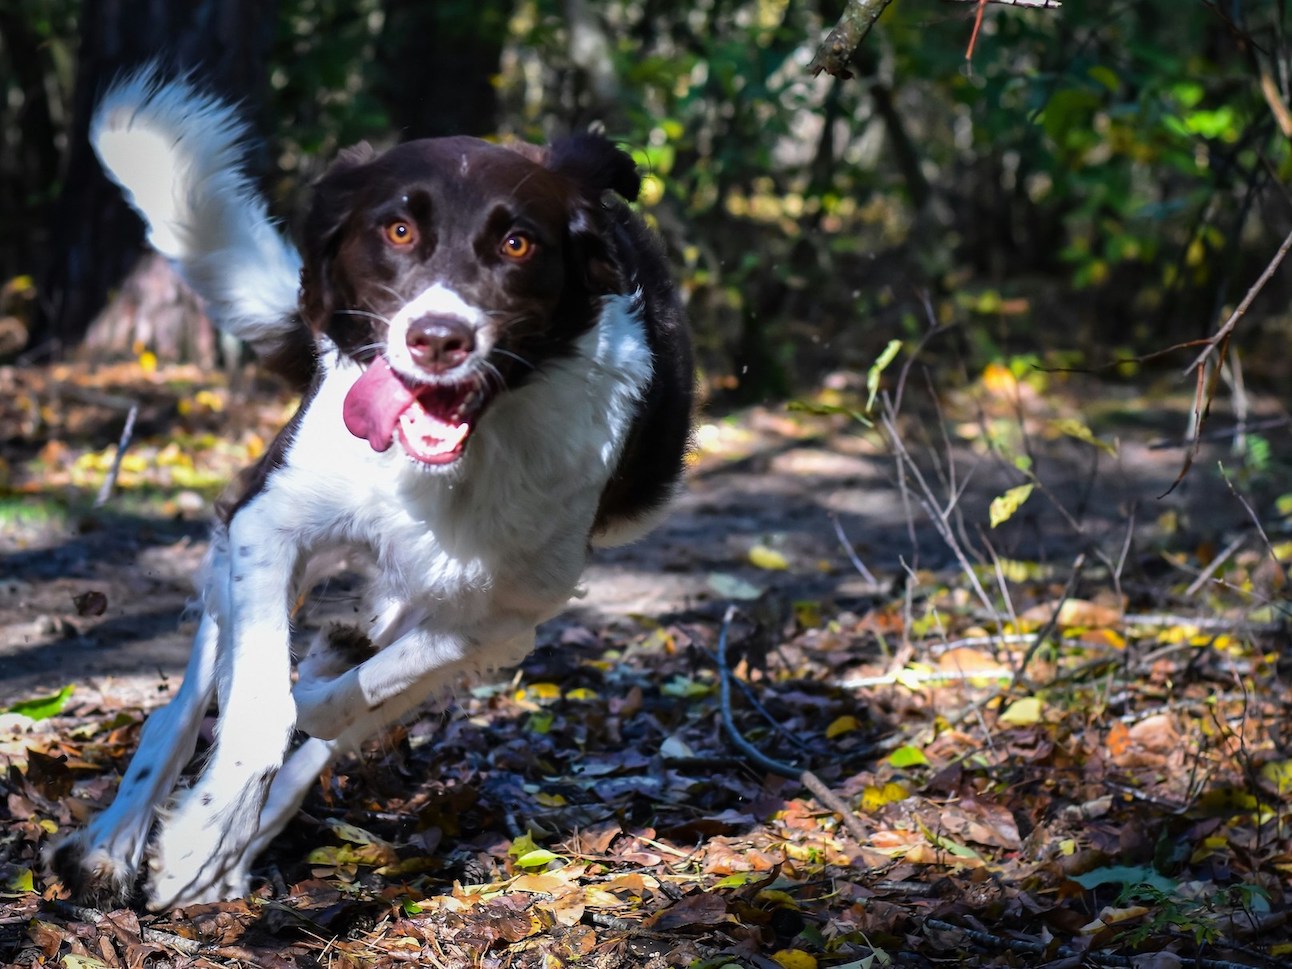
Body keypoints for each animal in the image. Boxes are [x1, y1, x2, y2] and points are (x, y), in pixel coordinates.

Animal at [50, 70, 692, 909]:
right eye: (398, 231)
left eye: (517, 243)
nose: (439, 339)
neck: (445, 464)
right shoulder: (268, 521)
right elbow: (261, 704)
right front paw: (193, 838)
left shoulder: (503, 612)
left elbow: (350, 693)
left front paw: (221, 828)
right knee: (185, 704)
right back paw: (116, 845)